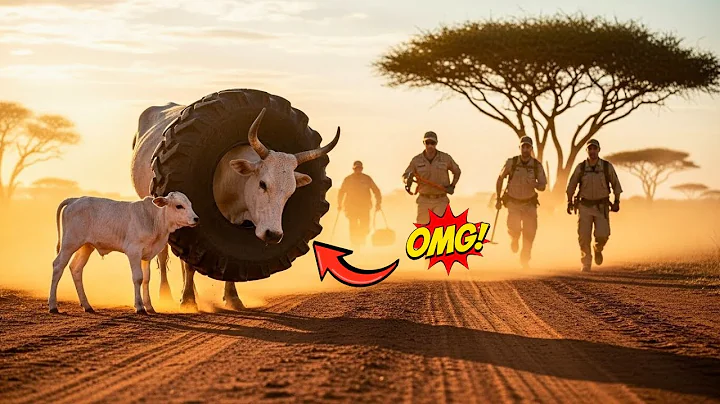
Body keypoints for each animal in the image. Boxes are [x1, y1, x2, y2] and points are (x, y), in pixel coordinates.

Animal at [49, 192, 199, 314]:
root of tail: (75, 199)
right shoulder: (134, 252)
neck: (153, 217)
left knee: (76, 268)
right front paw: (140, 307)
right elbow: (138, 278)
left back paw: (87, 306)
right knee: (58, 266)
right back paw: (53, 306)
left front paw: (149, 306)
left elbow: (146, 279)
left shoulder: (146, 257)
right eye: (179, 206)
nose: (196, 219)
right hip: (70, 244)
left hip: (86, 247)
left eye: (190, 204)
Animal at [131, 104, 339, 310]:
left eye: (291, 191)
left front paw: (232, 298)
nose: (273, 234)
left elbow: (230, 263)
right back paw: (167, 294)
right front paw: (188, 300)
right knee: (164, 255)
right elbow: (189, 261)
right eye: (263, 184)